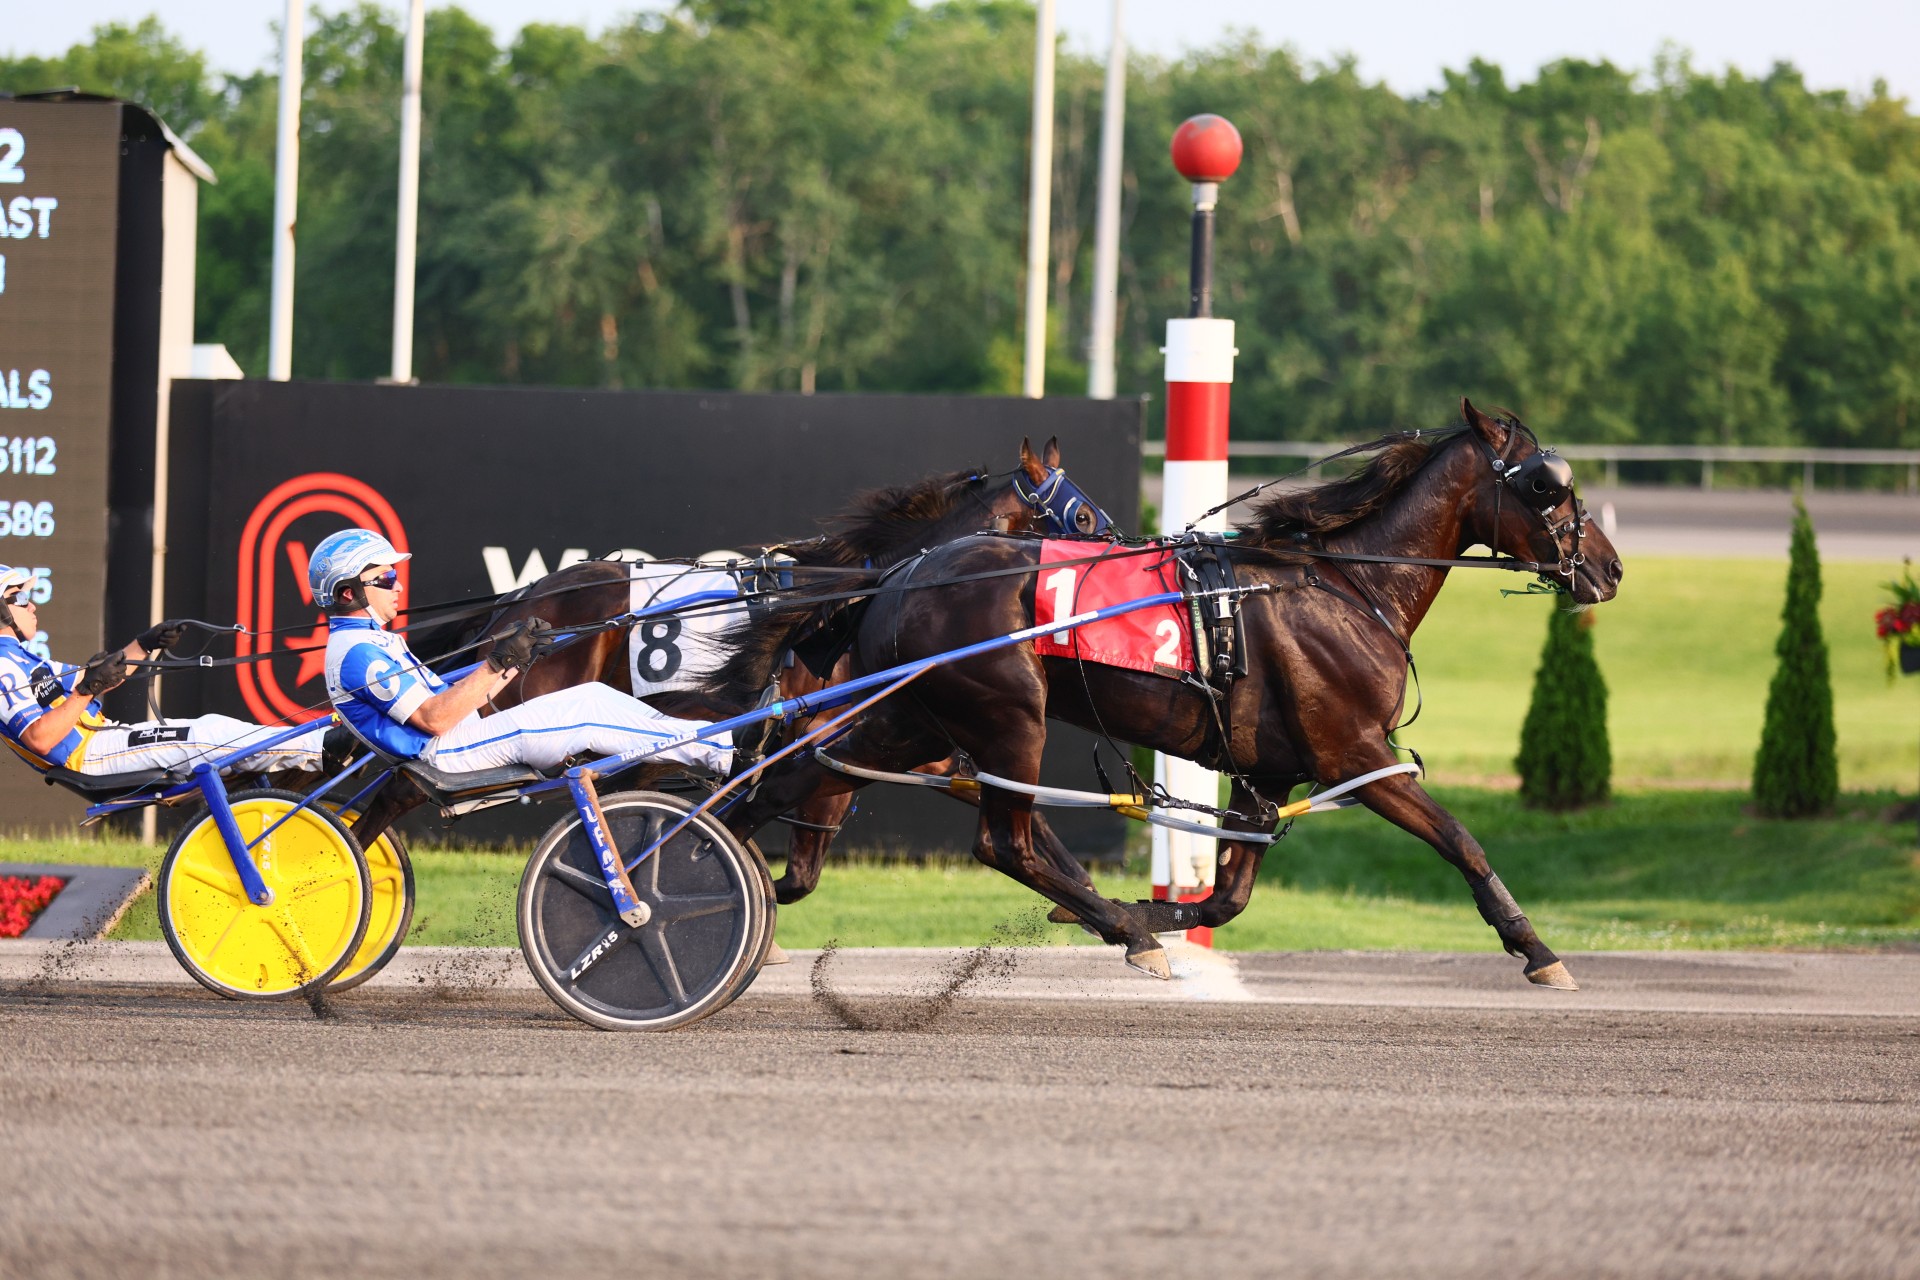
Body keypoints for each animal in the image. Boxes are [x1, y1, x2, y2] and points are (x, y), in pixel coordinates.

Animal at [721, 404, 1620, 990]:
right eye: (1549, 484)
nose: (1609, 568)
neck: (1346, 589)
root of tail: (901, 574)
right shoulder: (1356, 753)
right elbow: (1462, 842)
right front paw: (1537, 950)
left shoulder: (1269, 772)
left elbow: (1227, 897)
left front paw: (1133, 918)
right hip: (1006, 717)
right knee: (1002, 843)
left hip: (912, 718)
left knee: (800, 775)